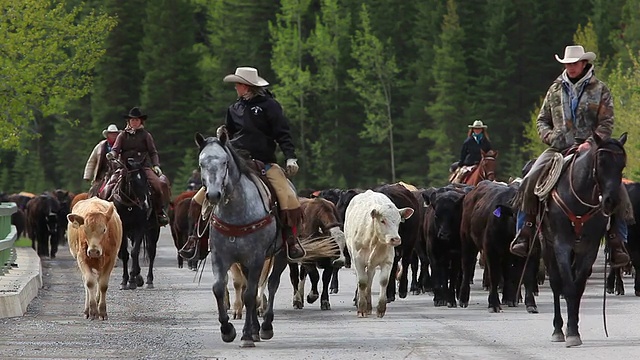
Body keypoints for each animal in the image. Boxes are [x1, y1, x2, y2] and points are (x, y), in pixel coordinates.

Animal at [111, 159, 160, 292]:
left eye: (146, 179)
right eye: (132, 180)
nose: (146, 204)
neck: (129, 205)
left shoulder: (140, 228)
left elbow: (134, 252)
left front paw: (132, 280)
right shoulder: (123, 229)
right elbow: (125, 254)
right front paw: (125, 281)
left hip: (153, 230)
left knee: (151, 252)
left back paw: (149, 280)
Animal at [196, 131, 338, 348]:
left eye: (225, 162)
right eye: (201, 163)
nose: (213, 195)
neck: (237, 211)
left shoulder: (256, 257)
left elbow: (250, 294)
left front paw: (246, 335)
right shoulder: (221, 257)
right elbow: (220, 288)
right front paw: (228, 330)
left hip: (279, 256)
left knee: (271, 285)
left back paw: (265, 327)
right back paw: (255, 328)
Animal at [544, 134, 628, 348]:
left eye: (622, 164)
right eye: (601, 161)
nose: (611, 202)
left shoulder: (589, 248)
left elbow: (579, 286)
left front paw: (574, 329)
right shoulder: (561, 245)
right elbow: (567, 286)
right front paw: (570, 333)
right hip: (546, 246)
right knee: (556, 283)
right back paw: (558, 329)